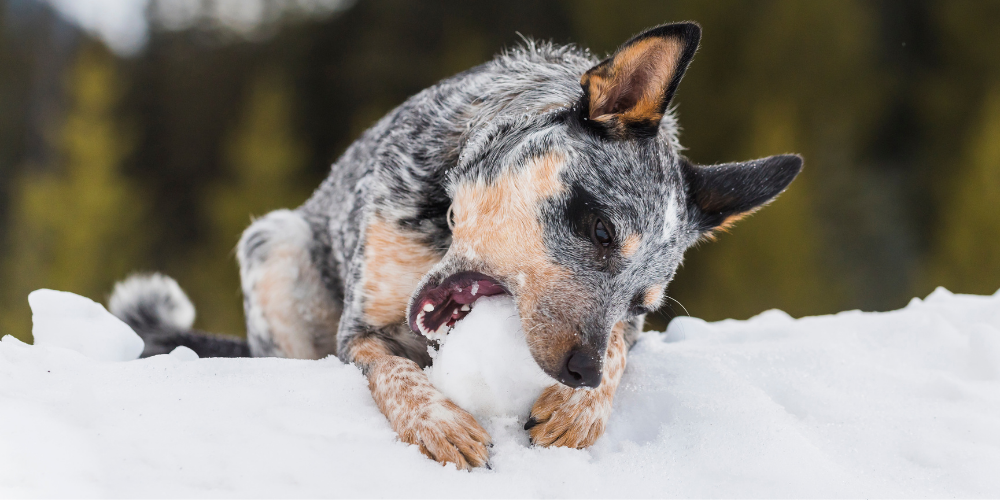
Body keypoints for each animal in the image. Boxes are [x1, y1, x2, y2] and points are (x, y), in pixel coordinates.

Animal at [109, 22, 800, 468]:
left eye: (643, 304)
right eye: (601, 230)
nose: (581, 371)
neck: (442, 214)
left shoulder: (625, 335)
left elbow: (621, 353)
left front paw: (579, 409)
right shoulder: (362, 328)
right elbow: (393, 374)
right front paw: (440, 423)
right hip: (274, 242)